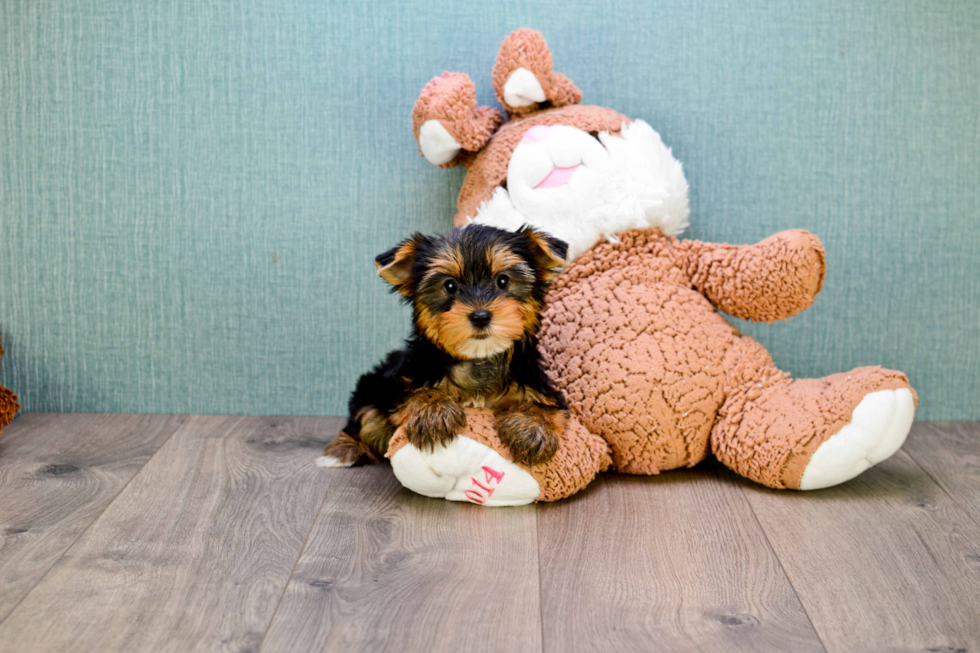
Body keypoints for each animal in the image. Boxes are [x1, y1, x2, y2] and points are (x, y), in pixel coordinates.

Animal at [318, 224, 572, 468]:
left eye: (502, 281)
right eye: (450, 286)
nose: (480, 316)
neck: (478, 358)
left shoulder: (539, 388)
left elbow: (541, 406)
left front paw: (532, 430)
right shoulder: (401, 382)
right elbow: (415, 392)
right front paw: (433, 411)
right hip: (370, 386)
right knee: (365, 419)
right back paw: (343, 449)